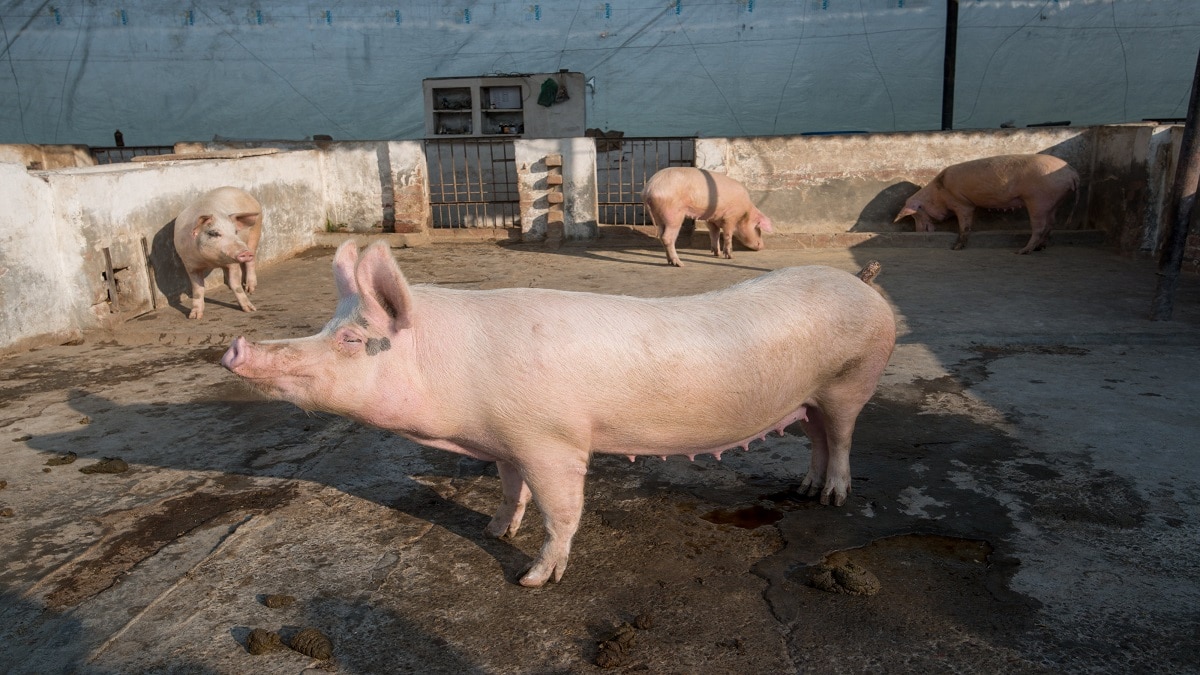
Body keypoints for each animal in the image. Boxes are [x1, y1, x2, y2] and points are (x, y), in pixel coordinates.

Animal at [173, 186, 263, 319]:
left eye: (235, 232)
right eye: (214, 233)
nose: (245, 252)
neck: (211, 261)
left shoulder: (233, 263)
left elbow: (237, 285)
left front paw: (250, 310)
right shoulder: (190, 265)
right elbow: (197, 290)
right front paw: (194, 317)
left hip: (255, 231)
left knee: (251, 261)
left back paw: (250, 289)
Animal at [221, 241, 895, 587]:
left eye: (352, 340)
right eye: (326, 325)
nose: (235, 347)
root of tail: (864, 285)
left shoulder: (552, 439)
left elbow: (561, 511)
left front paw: (531, 580)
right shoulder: (505, 441)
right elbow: (509, 490)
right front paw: (496, 530)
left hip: (852, 379)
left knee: (843, 440)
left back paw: (831, 499)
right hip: (810, 397)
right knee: (816, 437)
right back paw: (803, 490)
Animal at [642, 167, 774, 267]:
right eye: (758, 228)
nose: (762, 246)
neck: (744, 212)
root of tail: (649, 189)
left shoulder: (712, 219)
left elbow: (714, 234)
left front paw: (717, 254)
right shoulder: (730, 217)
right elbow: (727, 235)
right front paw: (730, 256)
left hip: (659, 217)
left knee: (661, 236)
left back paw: (670, 261)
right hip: (673, 215)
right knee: (667, 237)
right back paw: (679, 264)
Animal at [893, 154, 1079, 254]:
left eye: (917, 214)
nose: (917, 231)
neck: (940, 192)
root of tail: (1072, 172)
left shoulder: (962, 203)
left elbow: (965, 225)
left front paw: (956, 248)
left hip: (1038, 199)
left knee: (1040, 226)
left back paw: (1021, 252)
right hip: (1055, 200)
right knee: (1051, 223)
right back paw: (1040, 247)